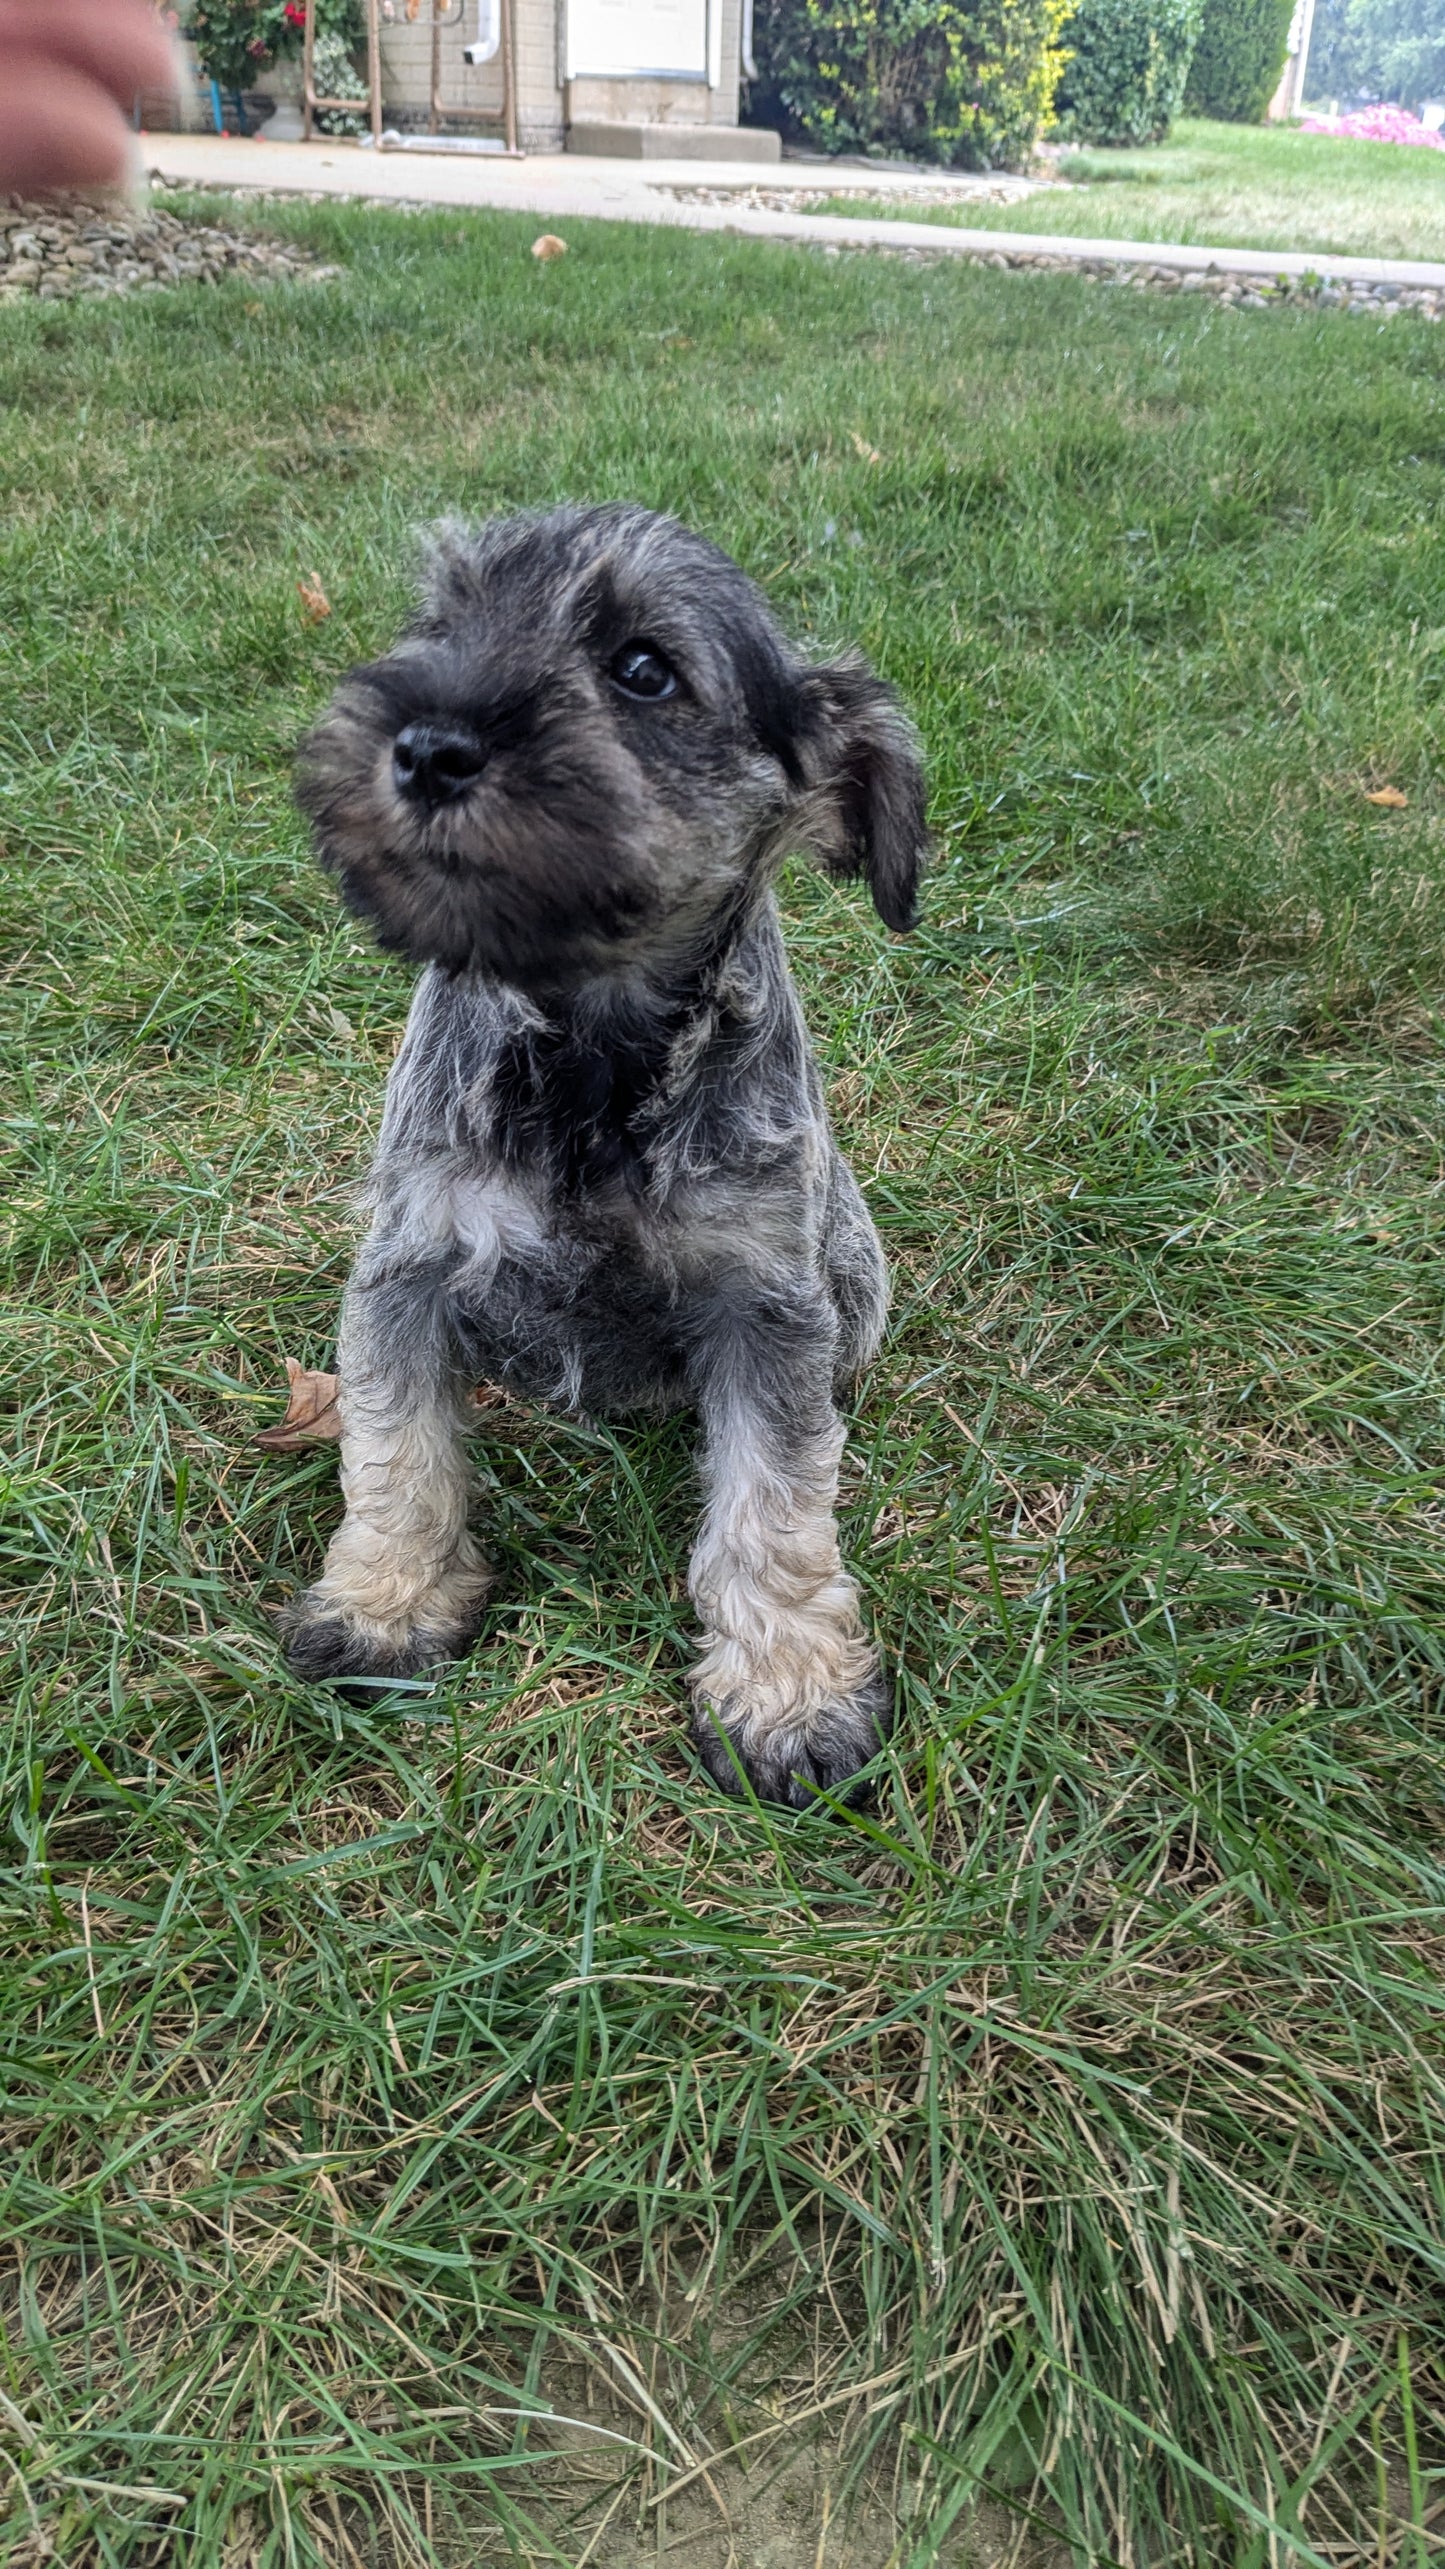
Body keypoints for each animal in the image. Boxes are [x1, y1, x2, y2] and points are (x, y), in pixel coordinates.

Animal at [284, 490, 920, 1798]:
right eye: (442, 620)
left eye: (641, 668)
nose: (425, 746)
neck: (584, 1050)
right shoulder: (407, 1268)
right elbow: (395, 1452)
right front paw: (384, 1606)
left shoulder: (764, 1305)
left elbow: (776, 1499)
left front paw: (787, 1696)